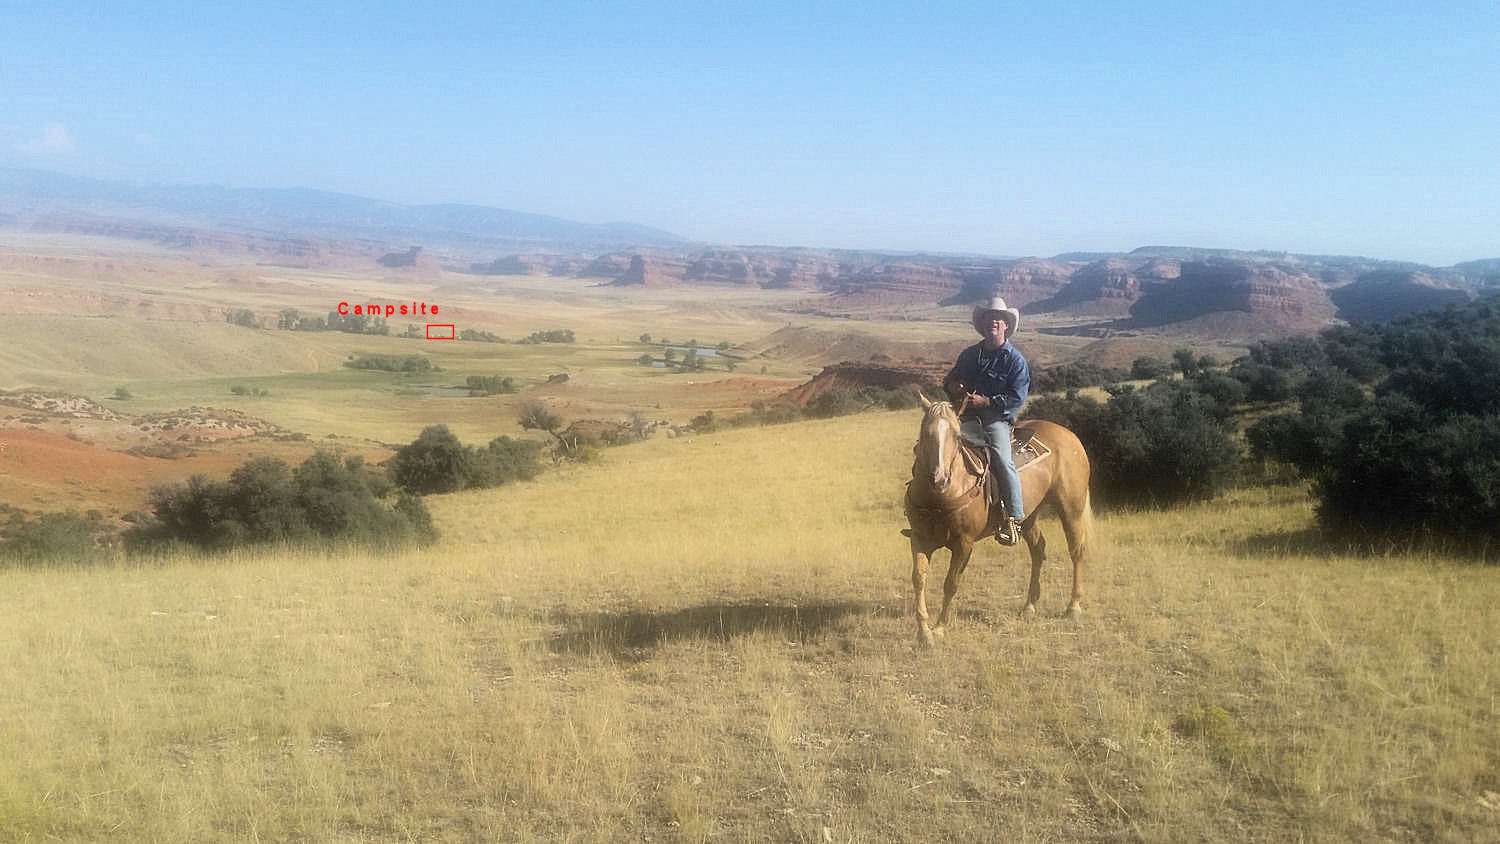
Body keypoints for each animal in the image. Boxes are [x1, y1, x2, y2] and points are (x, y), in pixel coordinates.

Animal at [904, 394, 1093, 647]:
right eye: (925, 433)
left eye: (957, 436)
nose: (940, 478)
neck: (940, 497)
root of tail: (1069, 434)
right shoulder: (919, 539)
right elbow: (918, 579)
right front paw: (923, 631)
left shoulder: (964, 544)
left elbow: (951, 583)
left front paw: (940, 628)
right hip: (1029, 515)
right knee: (1038, 550)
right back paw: (1029, 606)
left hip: (1071, 508)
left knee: (1076, 551)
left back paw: (1073, 606)